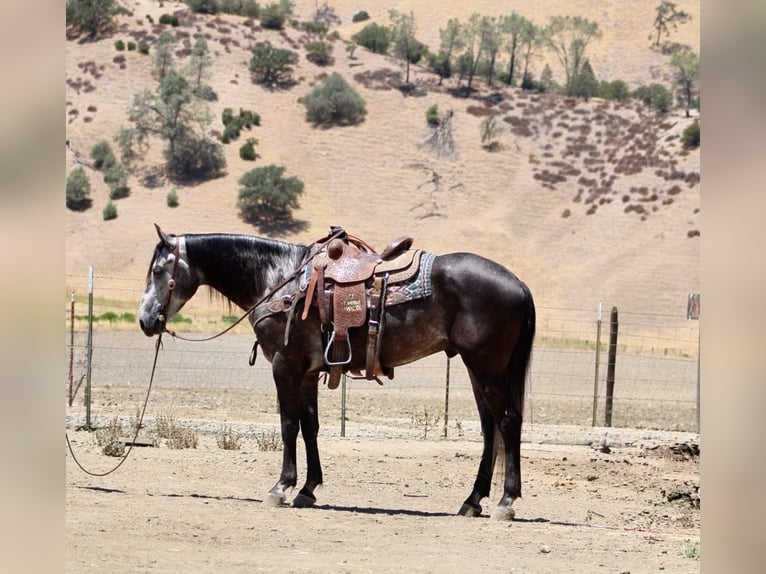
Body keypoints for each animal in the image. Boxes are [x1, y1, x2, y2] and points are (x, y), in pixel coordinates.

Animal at [138, 225, 535, 520]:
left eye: (158, 271)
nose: (145, 320)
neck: (279, 281)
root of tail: (518, 283)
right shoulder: (308, 373)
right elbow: (310, 426)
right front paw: (308, 489)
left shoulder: (285, 366)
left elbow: (288, 425)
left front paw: (280, 488)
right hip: (478, 369)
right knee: (489, 428)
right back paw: (473, 500)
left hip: (485, 366)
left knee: (507, 421)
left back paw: (505, 502)